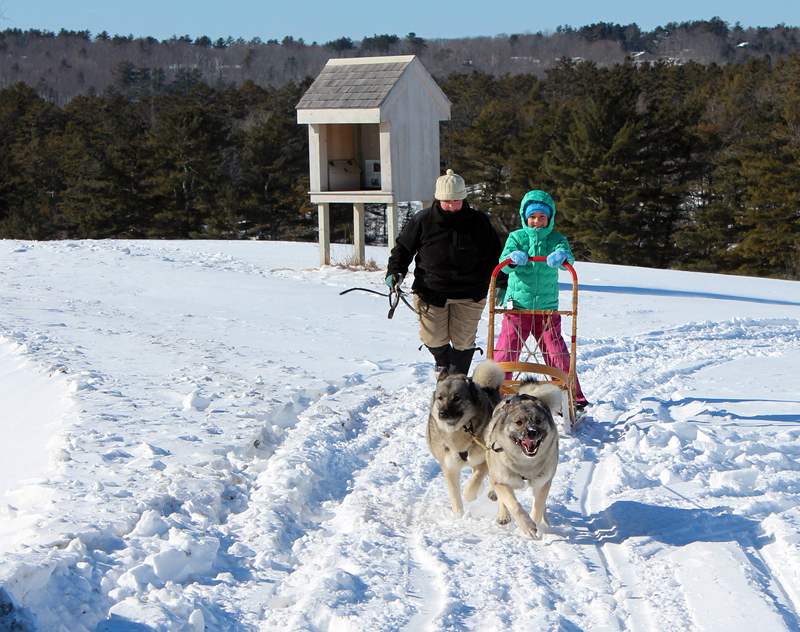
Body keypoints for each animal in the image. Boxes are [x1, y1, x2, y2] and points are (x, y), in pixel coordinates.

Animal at [428, 358, 504, 516]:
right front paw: (458, 515)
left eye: (457, 398)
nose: (443, 413)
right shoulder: (449, 467)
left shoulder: (483, 461)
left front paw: (471, 494)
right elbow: (455, 494)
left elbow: (471, 486)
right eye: (440, 398)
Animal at [482, 380, 564, 540]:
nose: (531, 432)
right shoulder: (501, 481)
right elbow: (513, 504)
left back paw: (545, 522)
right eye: (518, 422)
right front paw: (527, 526)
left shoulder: (542, 482)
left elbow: (538, 507)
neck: (525, 464)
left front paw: (536, 525)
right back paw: (503, 515)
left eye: (539, 421)